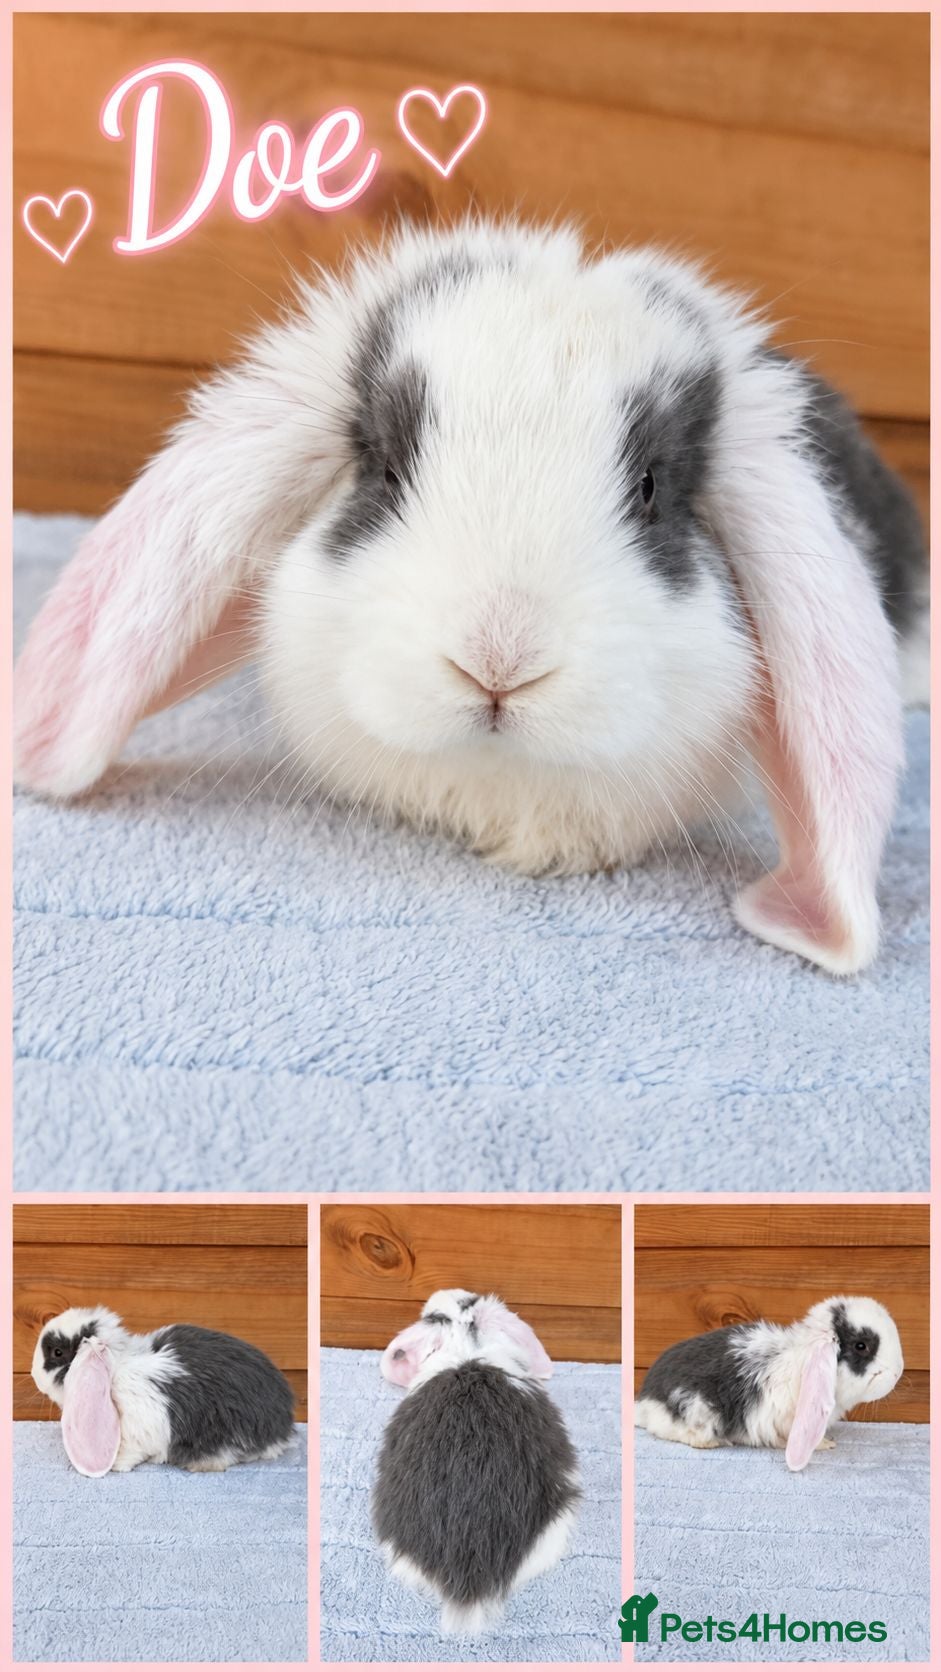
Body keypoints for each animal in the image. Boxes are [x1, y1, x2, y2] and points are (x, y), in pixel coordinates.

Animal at [31, 1305, 295, 1475]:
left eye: (57, 1352)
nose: (34, 1375)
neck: (116, 1367)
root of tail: (283, 1423)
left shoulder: (139, 1427)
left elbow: (131, 1450)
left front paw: (117, 1465)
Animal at [634, 1295, 903, 1470]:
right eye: (861, 1346)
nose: (899, 1371)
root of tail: (645, 1401)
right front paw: (825, 1444)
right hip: (695, 1409)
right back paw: (708, 1443)